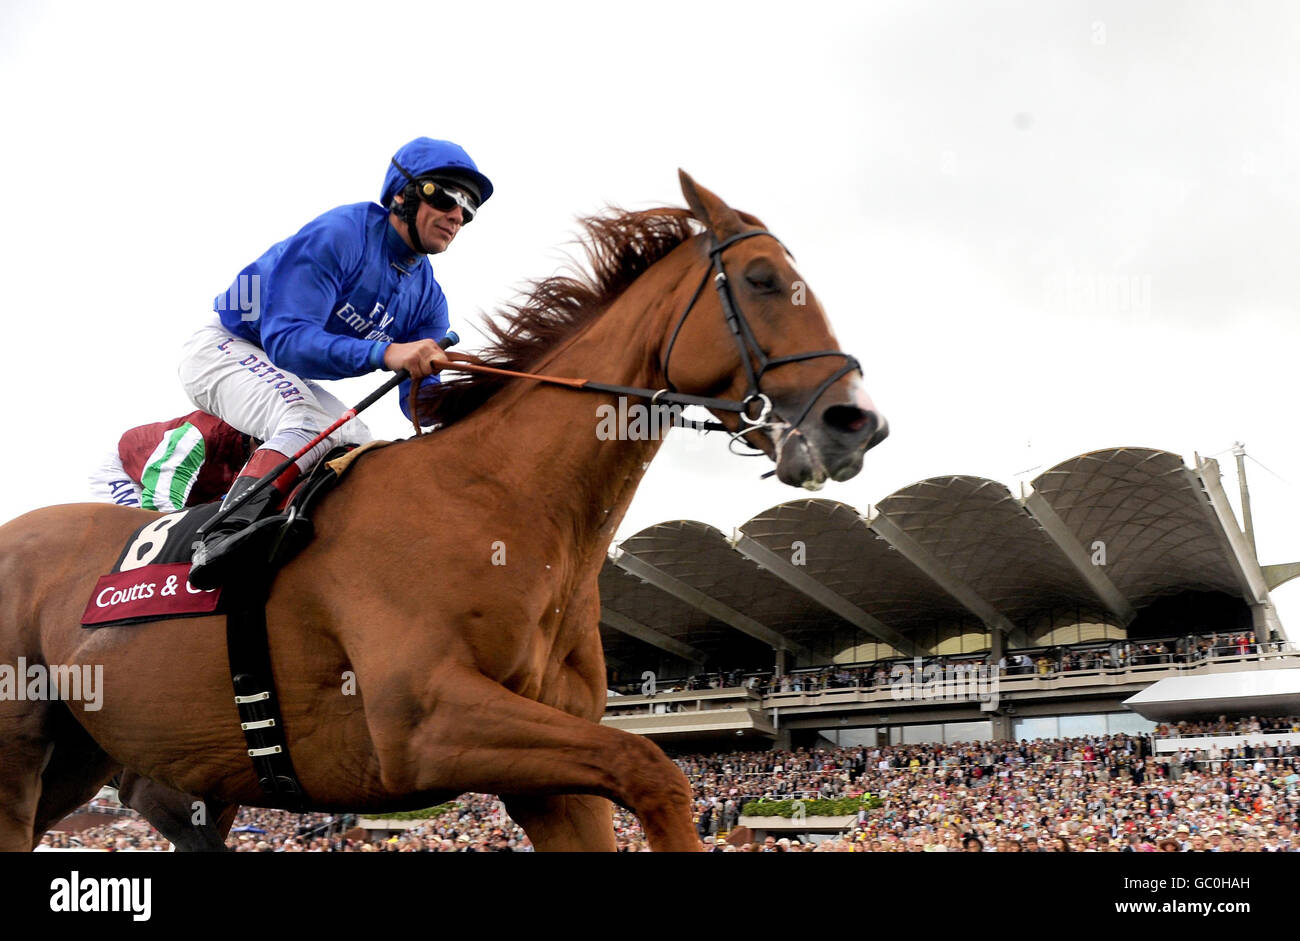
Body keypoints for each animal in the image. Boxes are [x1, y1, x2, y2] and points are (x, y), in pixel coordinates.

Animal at [0, 171, 883, 852]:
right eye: (762, 279)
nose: (857, 422)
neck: (503, 501)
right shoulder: (425, 724)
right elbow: (657, 769)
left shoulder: (551, 777)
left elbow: (642, 774)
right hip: (22, 748)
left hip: (88, 755)